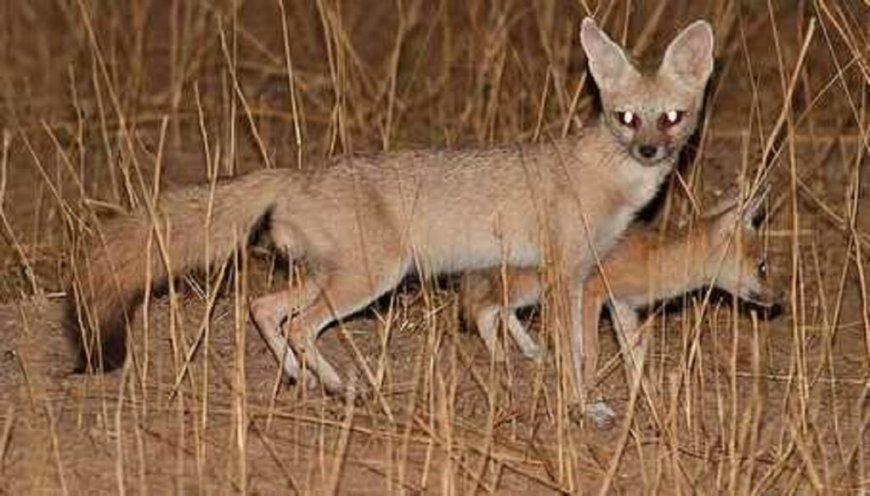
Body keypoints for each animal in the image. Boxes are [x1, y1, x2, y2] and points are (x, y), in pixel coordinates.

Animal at [66, 18, 716, 404]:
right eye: (626, 118)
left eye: (671, 118)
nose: (650, 151)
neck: (605, 174)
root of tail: (292, 172)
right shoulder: (566, 275)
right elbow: (575, 352)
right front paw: (583, 403)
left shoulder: (579, 273)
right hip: (370, 278)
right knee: (296, 322)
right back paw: (336, 383)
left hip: (335, 277)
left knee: (264, 307)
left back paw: (309, 379)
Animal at [464, 188, 784, 424]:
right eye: (763, 267)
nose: (780, 299)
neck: (653, 258)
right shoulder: (592, 295)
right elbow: (588, 354)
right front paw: (588, 404)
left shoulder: (621, 306)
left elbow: (635, 358)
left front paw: (649, 403)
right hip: (532, 289)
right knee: (485, 311)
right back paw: (500, 357)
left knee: (503, 311)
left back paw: (530, 350)